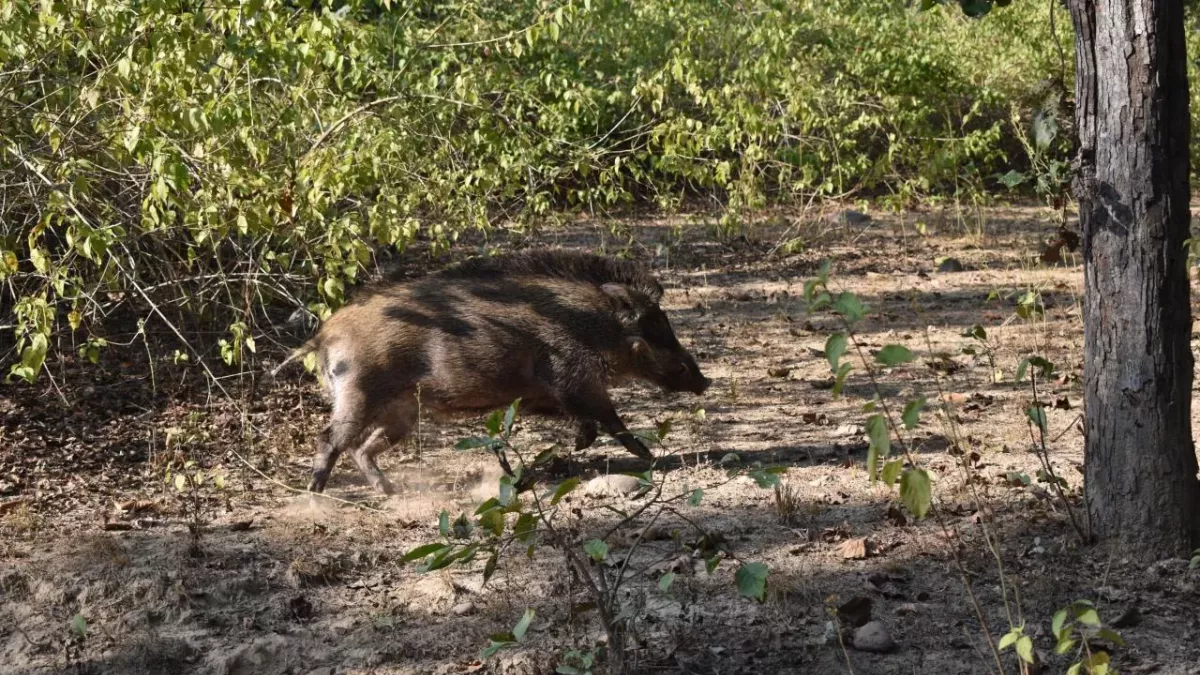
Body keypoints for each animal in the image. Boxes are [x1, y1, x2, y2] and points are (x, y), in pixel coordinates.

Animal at [280, 249, 711, 495]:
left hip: (401, 413)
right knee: (331, 438)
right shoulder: (573, 377)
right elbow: (611, 416)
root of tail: (325, 334)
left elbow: (586, 420)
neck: (592, 325)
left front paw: (574, 448)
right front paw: (648, 455)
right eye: (652, 331)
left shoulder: (543, 394)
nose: (704, 381)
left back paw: (388, 490)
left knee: (362, 448)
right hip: (359, 392)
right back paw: (315, 493)